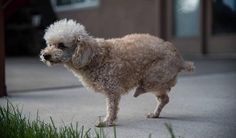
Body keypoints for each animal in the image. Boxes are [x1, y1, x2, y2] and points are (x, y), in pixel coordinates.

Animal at [40, 18, 195, 126]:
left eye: (61, 45)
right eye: (49, 44)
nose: (45, 55)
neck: (94, 56)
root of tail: (180, 59)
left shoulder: (112, 89)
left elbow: (112, 107)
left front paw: (107, 122)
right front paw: (108, 120)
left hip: (153, 77)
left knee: (159, 93)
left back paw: (139, 91)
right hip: (156, 80)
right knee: (164, 98)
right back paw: (155, 113)